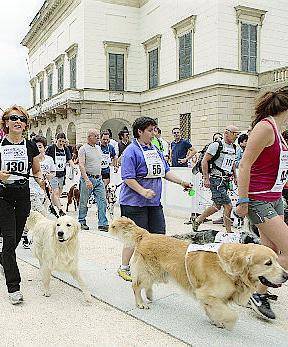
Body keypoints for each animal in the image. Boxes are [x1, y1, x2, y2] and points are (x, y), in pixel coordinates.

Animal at [110, 219, 288, 330]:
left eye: (277, 260)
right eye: (268, 263)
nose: (286, 275)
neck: (229, 268)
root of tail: (146, 234)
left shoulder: (213, 298)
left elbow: (215, 310)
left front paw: (216, 321)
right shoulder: (206, 294)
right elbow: (231, 315)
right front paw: (226, 323)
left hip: (158, 272)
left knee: (147, 285)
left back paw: (150, 296)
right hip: (148, 271)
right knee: (136, 286)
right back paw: (141, 303)